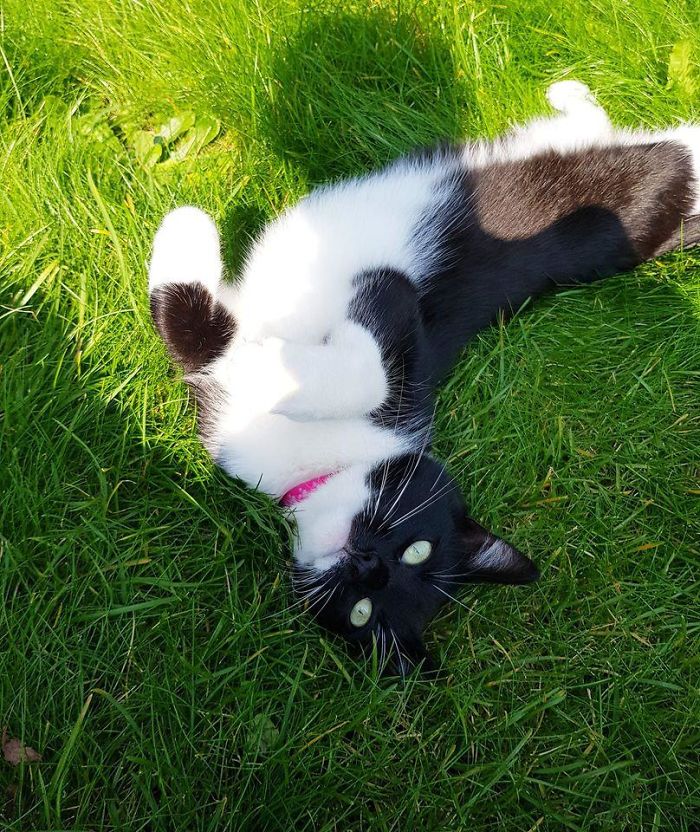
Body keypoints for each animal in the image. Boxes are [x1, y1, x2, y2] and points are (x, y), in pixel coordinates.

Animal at [148, 81, 700, 674]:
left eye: (366, 610)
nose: (367, 563)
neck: (321, 466)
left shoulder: (403, 321)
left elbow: (359, 343)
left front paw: (266, 368)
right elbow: (189, 329)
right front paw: (185, 231)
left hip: (645, 185)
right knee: (596, 125)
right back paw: (570, 94)